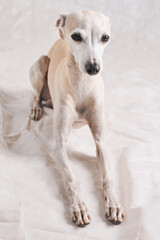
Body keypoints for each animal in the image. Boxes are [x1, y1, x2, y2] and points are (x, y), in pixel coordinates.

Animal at [29, 9, 124, 227]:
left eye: (105, 37)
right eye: (76, 36)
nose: (93, 68)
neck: (82, 85)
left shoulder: (101, 142)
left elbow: (108, 177)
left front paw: (113, 203)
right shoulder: (59, 146)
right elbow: (72, 179)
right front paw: (79, 207)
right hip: (41, 64)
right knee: (36, 94)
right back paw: (36, 108)